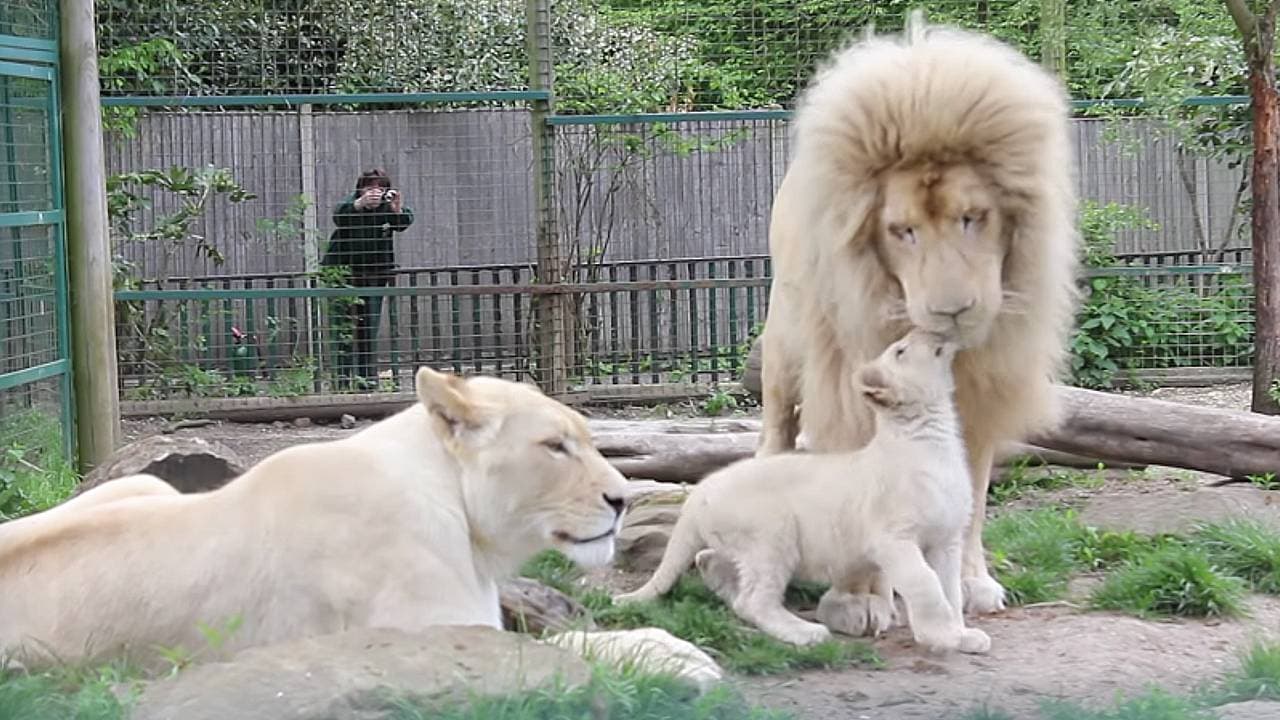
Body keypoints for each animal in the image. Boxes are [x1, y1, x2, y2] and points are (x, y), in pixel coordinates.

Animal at [0, 366, 721, 686]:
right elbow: (561, 648)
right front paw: (678, 655)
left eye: (588, 438)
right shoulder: (432, 635)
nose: (622, 499)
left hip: (147, 484)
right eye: (554, 446)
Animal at [616, 327, 988, 653]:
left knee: (713, 565)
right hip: (772, 536)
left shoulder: (947, 540)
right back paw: (806, 633)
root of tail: (701, 490)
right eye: (900, 350)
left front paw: (961, 634)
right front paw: (940, 636)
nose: (928, 330)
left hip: (744, 545)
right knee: (754, 600)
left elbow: (950, 589)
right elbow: (927, 584)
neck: (932, 430)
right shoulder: (893, 539)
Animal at [752, 11, 1085, 627]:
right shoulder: (848, 389)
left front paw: (973, 583)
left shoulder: (979, 401)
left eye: (972, 217)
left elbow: (971, 500)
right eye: (901, 230)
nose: (952, 309)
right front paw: (860, 598)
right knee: (777, 426)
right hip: (783, 343)